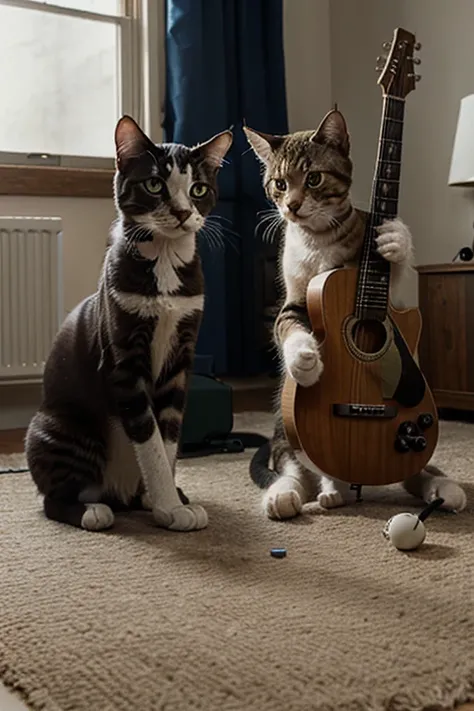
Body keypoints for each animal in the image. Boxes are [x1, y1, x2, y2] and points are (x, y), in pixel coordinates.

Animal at [25, 115, 233, 528]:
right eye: (154, 184)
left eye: (198, 188)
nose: (182, 212)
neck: (165, 260)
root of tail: (114, 493)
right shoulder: (123, 358)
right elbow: (147, 435)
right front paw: (169, 504)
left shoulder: (180, 358)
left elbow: (167, 436)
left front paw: (165, 502)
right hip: (59, 429)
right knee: (53, 498)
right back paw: (91, 511)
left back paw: (140, 498)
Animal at [244, 112, 466, 524]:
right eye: (279, 184)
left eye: (314, 178)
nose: (292, 207)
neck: (318, 240)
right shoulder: (292, 300)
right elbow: (288, 327)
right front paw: (305, 360)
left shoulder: (392, 295)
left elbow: (397, 275)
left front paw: (396, 239)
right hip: (285, 427)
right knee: (293, 464)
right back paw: (298, 494)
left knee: (417, 469)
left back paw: (440, 488)